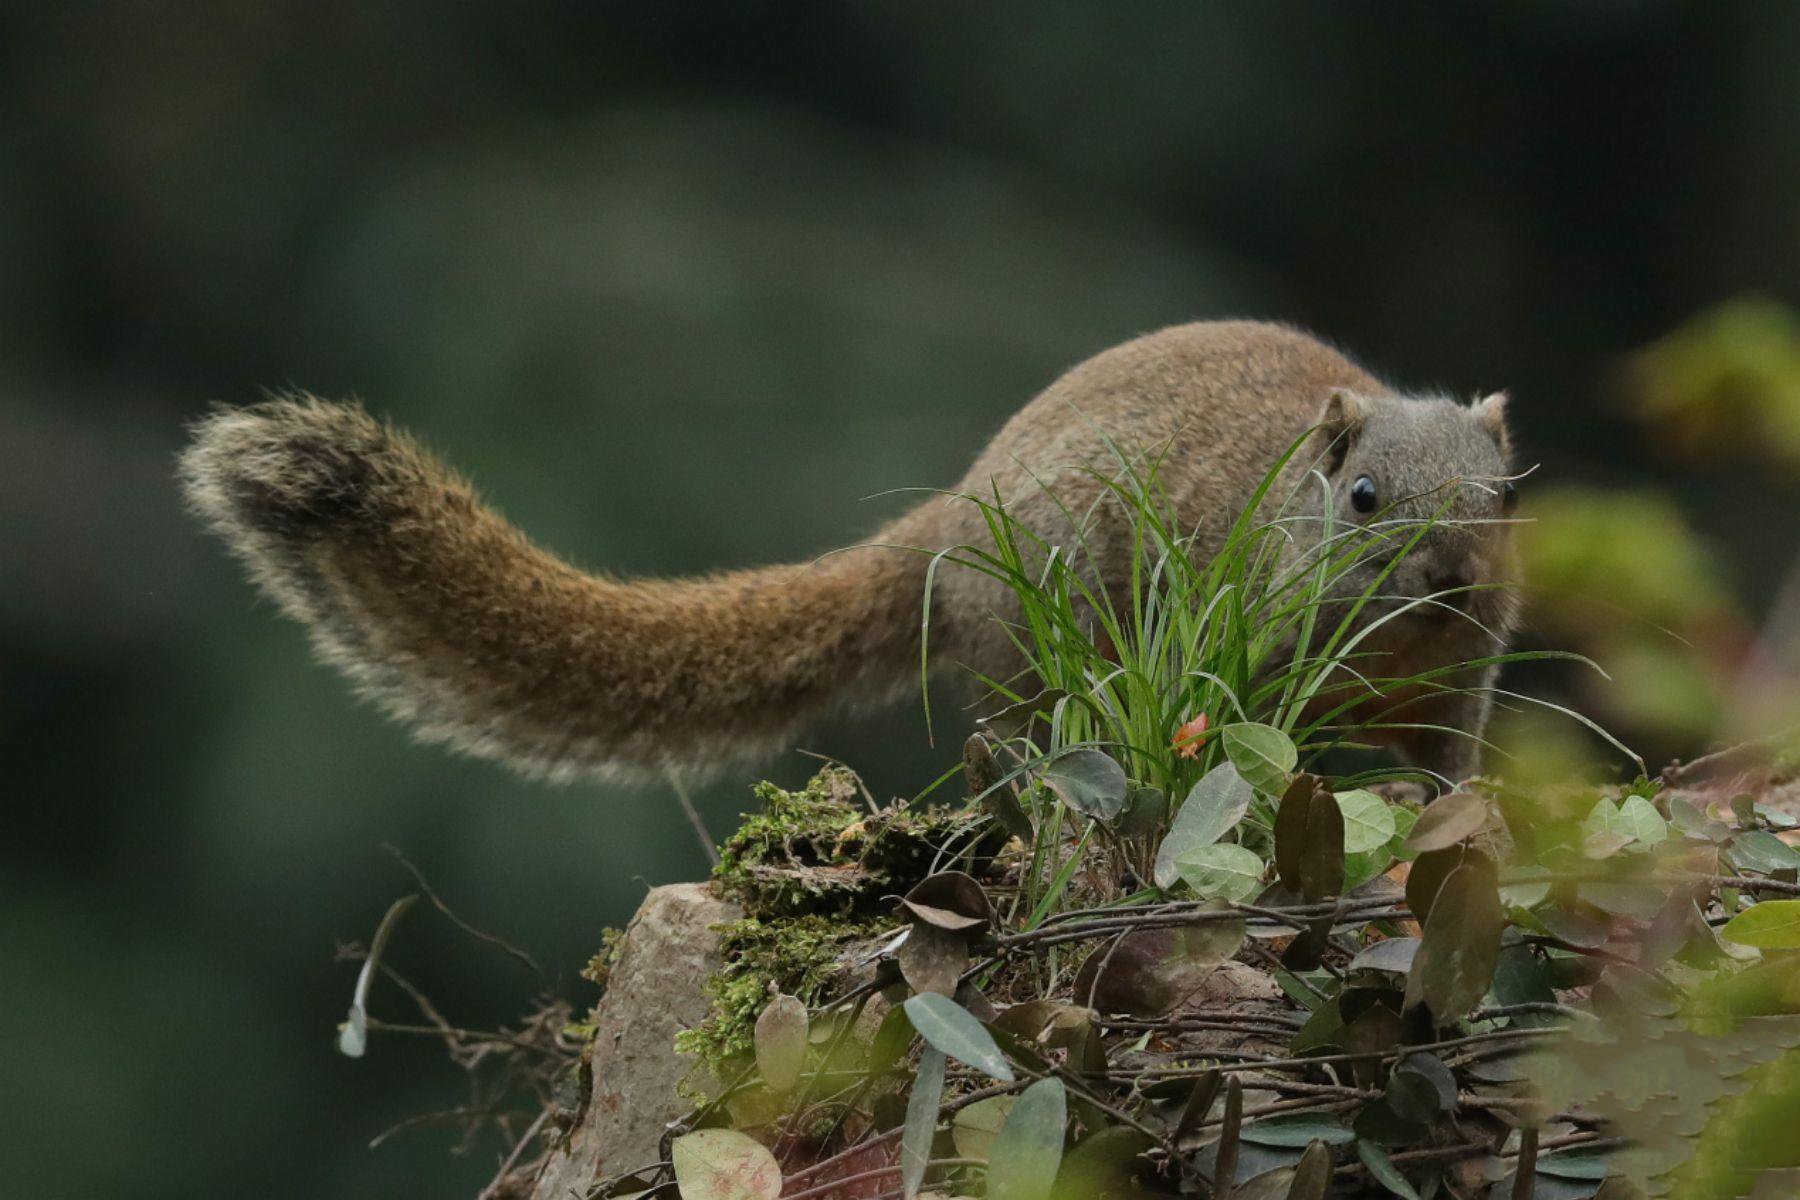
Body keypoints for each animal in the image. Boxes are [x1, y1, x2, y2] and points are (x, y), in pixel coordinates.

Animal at [179, 322, 1519, 788]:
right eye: (1362, 499)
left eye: (1503, 500)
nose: (1452, 578)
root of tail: (949, 518)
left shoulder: (1460, 683)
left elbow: (1449, 756)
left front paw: (1450, 801)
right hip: (1032, 643)